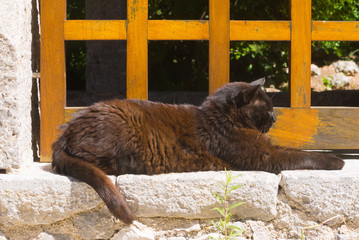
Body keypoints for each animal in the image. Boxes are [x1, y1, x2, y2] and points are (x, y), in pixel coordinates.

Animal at [51, 79, 346, 225]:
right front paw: (337, 160)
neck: (220, 118)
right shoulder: (265, 156)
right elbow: (300, 154)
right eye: (268, 108)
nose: (275, 118)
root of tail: (62, 135)